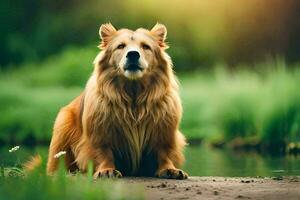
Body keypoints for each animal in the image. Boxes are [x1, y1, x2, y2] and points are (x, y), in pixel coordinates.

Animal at [46, 23, 188, 180]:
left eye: (146, 46)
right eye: (120, 46)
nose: (133, 54)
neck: (133, 95)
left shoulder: (164, 131)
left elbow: (164, 152)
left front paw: (169, 169)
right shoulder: (99, 133)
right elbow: (103, 152)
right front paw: (106, 170)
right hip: (62, 124)